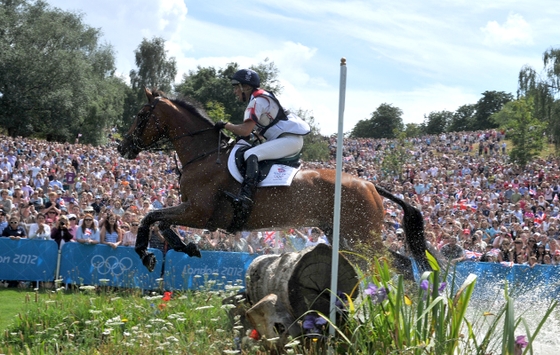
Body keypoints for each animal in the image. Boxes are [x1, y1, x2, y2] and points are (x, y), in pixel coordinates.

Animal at [118, 89, 430, 276]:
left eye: (141, 115)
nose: (123, 147)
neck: (204, 155)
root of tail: (371, 185)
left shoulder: (198, 212)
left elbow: (150, 217)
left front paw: (145, 255)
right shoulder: (191, 211)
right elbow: (160, 221)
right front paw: (187, 247)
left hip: (362, 236)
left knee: (394, 263)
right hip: (345, 235)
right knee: (396, 263)